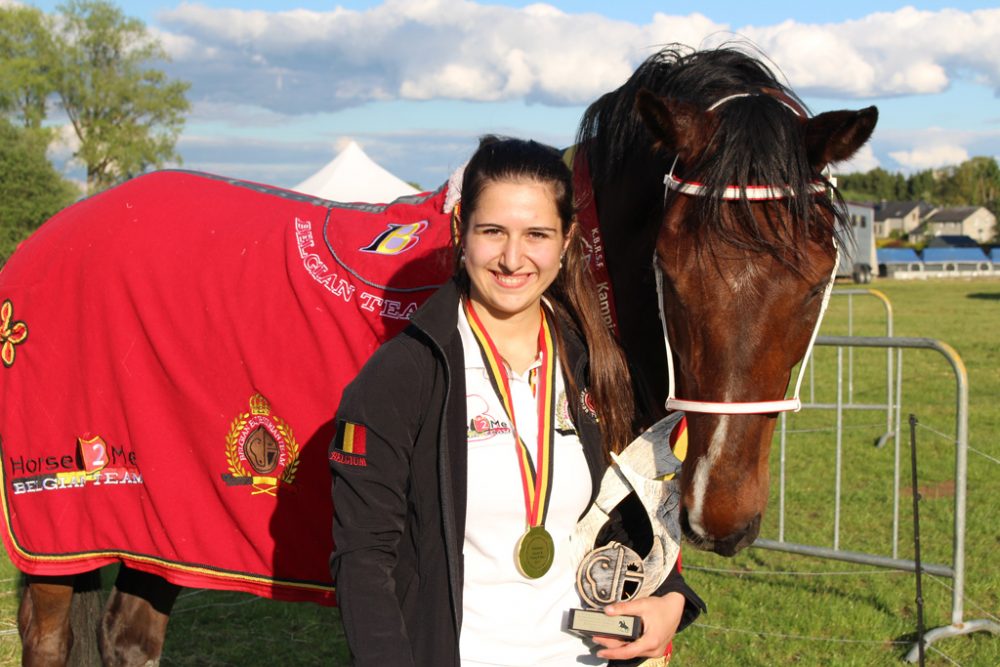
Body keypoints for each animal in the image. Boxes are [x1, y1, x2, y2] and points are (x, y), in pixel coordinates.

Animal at [1, 45, 876, 664]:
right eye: (671, 263)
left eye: (815, 273)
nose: (719, 513)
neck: (581, 281)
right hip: (60, 529)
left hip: (163, 528)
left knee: (127, 635)